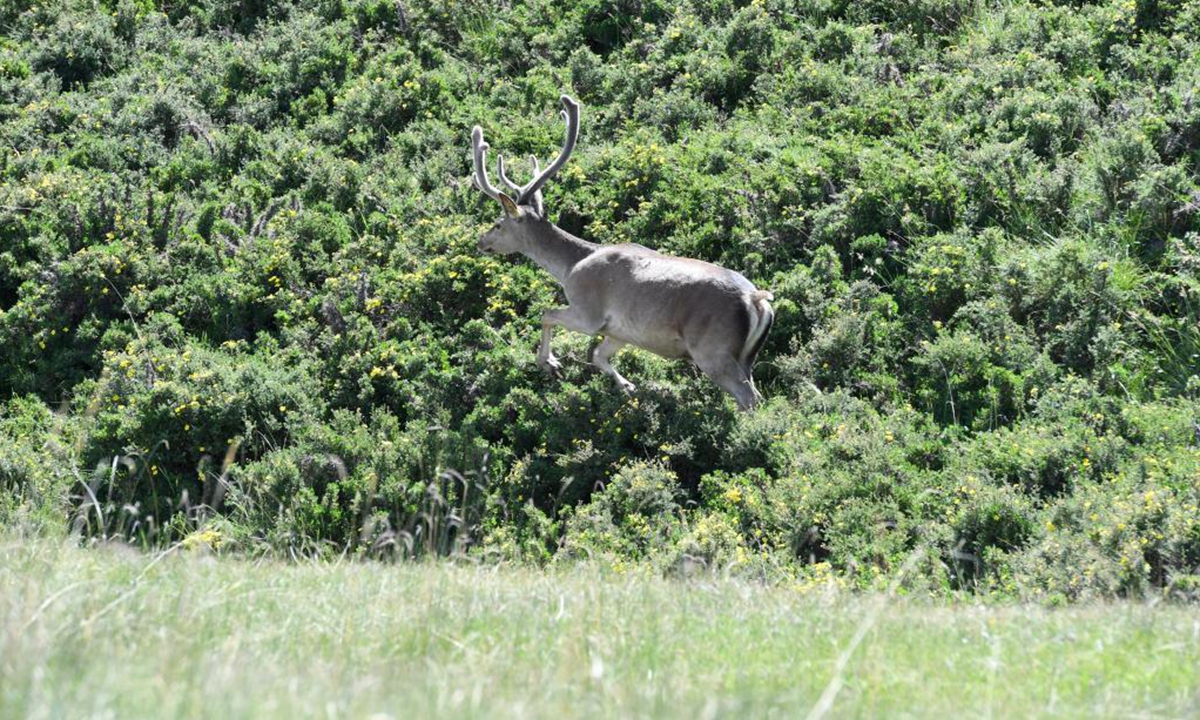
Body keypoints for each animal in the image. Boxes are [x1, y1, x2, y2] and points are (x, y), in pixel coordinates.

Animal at [470, 94, 774, 410]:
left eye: (498, 223)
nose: (480, 241)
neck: (570, 267)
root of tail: (756, 300)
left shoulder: (588, 312)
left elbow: (546, 313)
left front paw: (549, 363)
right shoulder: (620, 331)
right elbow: (598, 356)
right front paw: (627, 385)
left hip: (712, 348)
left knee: (749, 397)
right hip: (745, 356)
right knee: (756, 392)